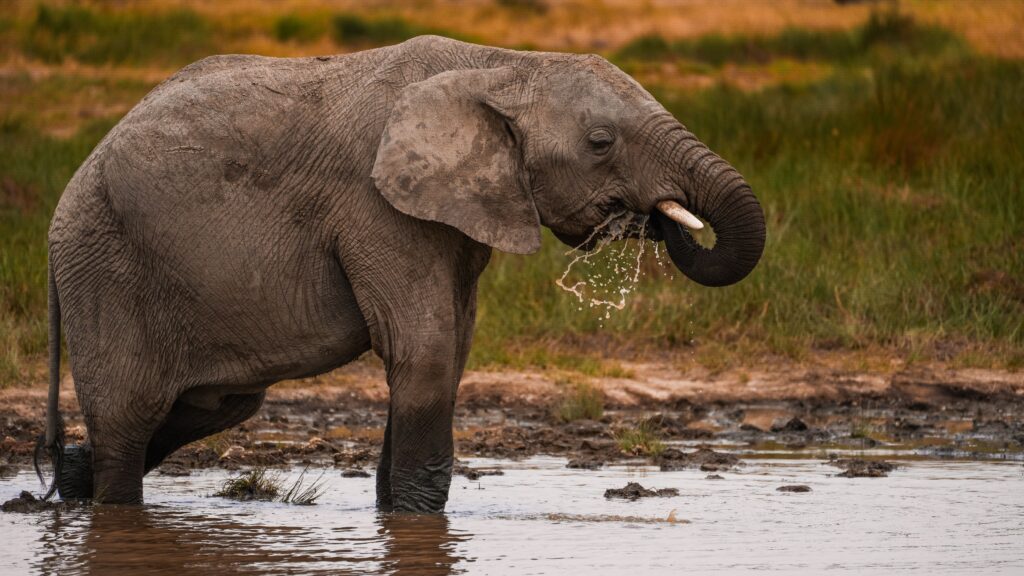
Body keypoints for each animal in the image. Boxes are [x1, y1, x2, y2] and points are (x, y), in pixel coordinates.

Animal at [38, 35, 765, 512]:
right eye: (600, 143)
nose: (657, 216)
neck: (501, 65)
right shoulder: (375, 206)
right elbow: (427, 351)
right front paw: (416, 520)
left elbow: (453, 349)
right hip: (105, 271)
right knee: (130, 422)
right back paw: (108, 504)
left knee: (211, 405)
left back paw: (71, 482)